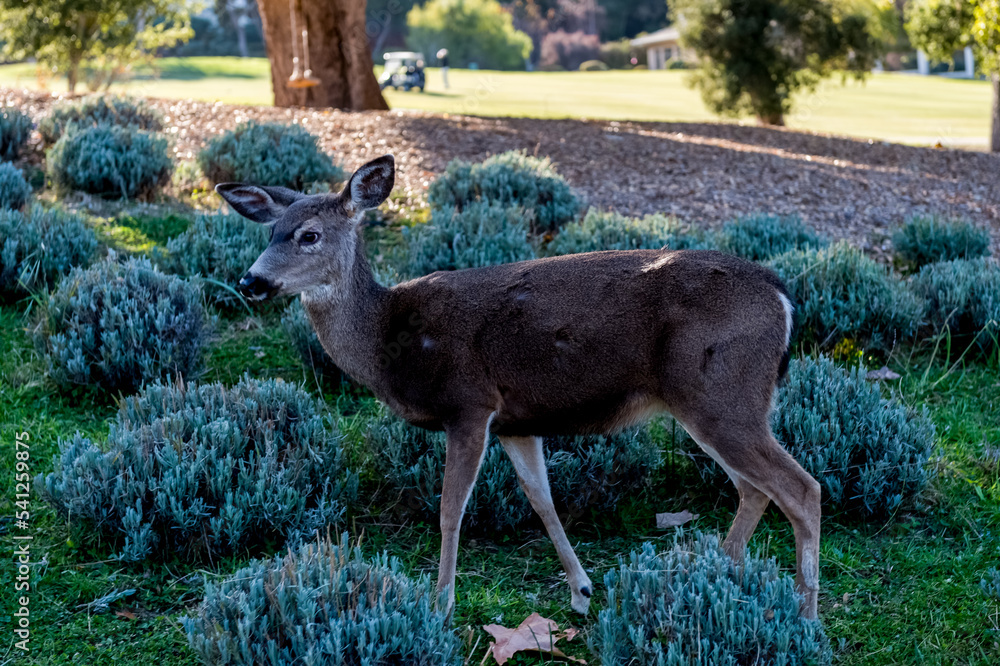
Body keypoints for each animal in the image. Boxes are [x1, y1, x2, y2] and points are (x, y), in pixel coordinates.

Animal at [223, 154, 824, 616]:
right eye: (270, 231)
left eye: (309, 235)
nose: (250, 281)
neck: (390, 338)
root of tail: (782, 296)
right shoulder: (516, 420)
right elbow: (542, 499)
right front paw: (582, 591)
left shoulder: (469, 402)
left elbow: (450, 508)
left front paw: (440, 603)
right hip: (712, 401)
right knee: (755, 488)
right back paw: (720, 572)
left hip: (722, 392)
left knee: (801, 488)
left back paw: (805, 614)